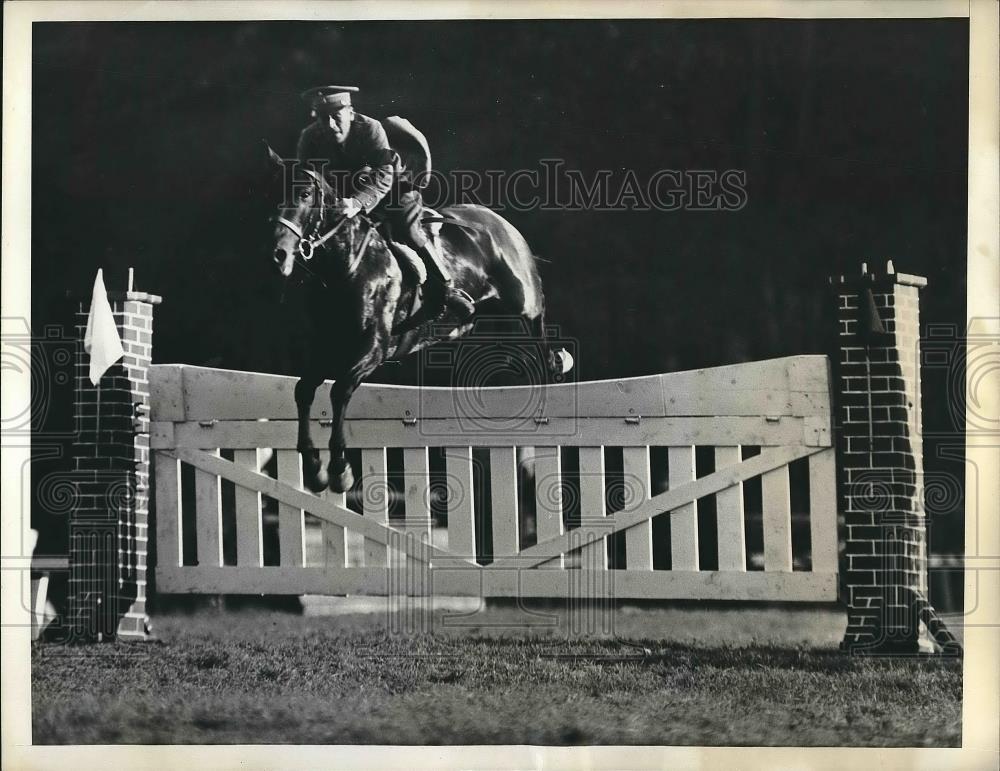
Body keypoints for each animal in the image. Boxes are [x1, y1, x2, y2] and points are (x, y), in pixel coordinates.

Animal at [270, 151, 576, 494]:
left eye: (304, 194)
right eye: (272, 194)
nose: (279, 254)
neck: (345, 267)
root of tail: (500, 223)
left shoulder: (373, 349)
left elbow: (339, 391)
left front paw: (339, 470)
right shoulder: (328, 348)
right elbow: (304, 390)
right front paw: (314, 470)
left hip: (523, 300)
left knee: (539, 325)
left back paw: (557, 362)